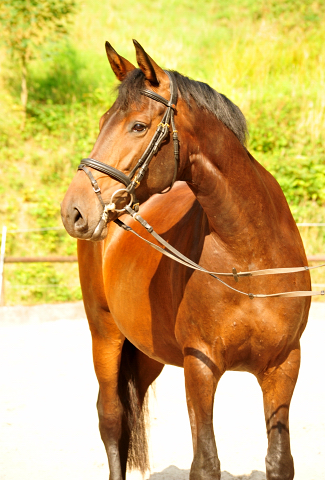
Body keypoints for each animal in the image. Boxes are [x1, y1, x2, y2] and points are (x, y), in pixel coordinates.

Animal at [61, 41, 312, 480]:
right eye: (103, 121)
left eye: (138, 126)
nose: (74, 210)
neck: (248, 258)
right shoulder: (200, 365)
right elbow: (206, 462)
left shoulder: (283, 364)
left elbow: (280, 461)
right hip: (105, 334)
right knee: (111, 419)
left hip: (146, 351)